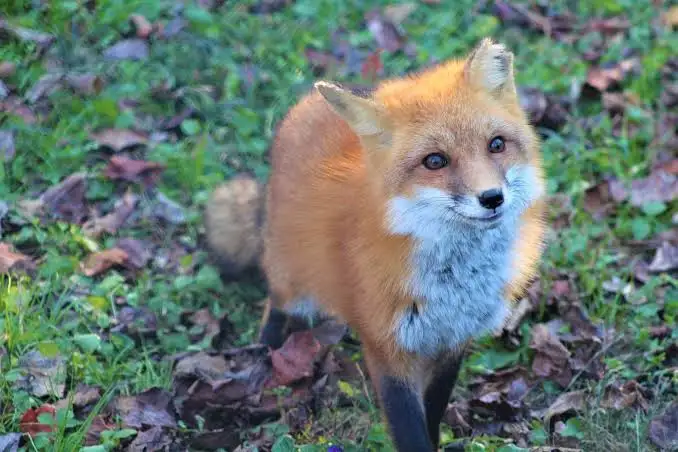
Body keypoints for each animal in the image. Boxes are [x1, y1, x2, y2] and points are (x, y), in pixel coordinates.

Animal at [207, 37, 547, 451]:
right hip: (293, 280)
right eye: (435, 161)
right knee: (276, 301)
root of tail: (306, 105)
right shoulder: (387, 348)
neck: (454, 285)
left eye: (496, 144)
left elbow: (433, 414)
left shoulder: (452, 342)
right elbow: (409, 431)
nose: (492, 198)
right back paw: (266, 351)